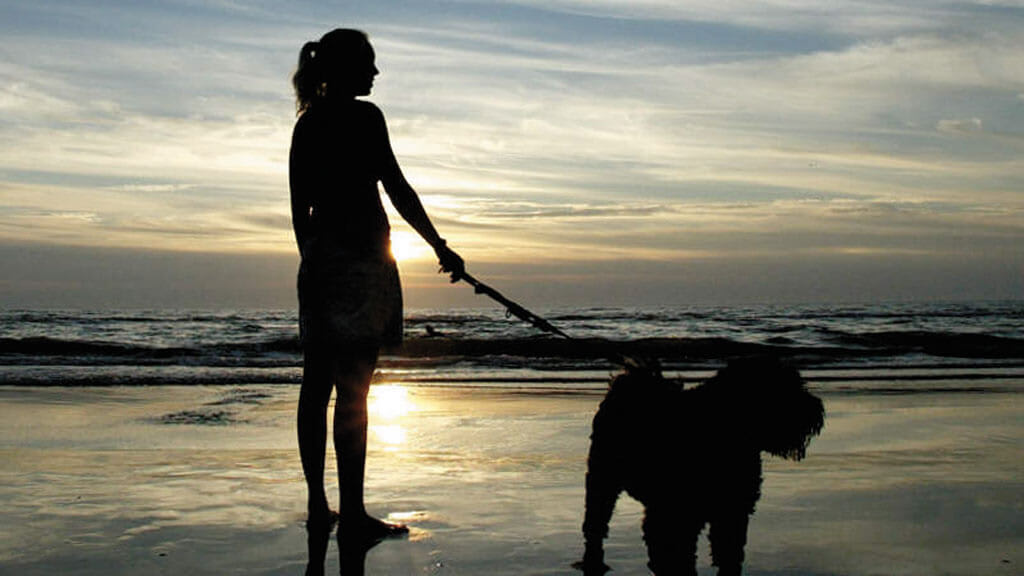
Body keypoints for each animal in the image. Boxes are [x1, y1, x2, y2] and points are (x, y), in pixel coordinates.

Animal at [577, 356, 823, 569]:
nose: (817, 409)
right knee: (598, 515)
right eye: (787, 386)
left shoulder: (732, 513)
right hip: (604, 475)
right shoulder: (680, 515)